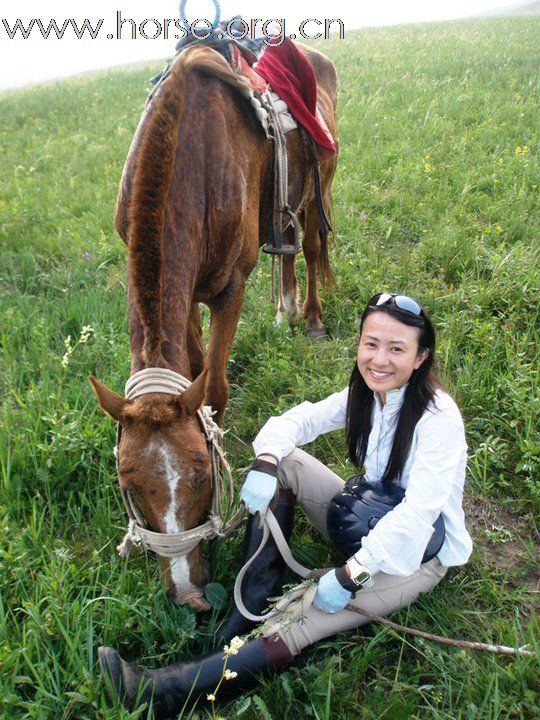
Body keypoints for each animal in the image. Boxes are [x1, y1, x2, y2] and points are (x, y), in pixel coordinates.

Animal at [91, 42, 340, 612]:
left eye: (203, 473)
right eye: (127, 482)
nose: (188, 593)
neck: (190, 161)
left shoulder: (230, 288)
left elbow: (217, 386)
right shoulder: (182, 300)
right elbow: (196, 366)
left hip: (320, 186)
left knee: (312, 245)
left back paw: (312, 318)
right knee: (287, 243)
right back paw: (285, 311)